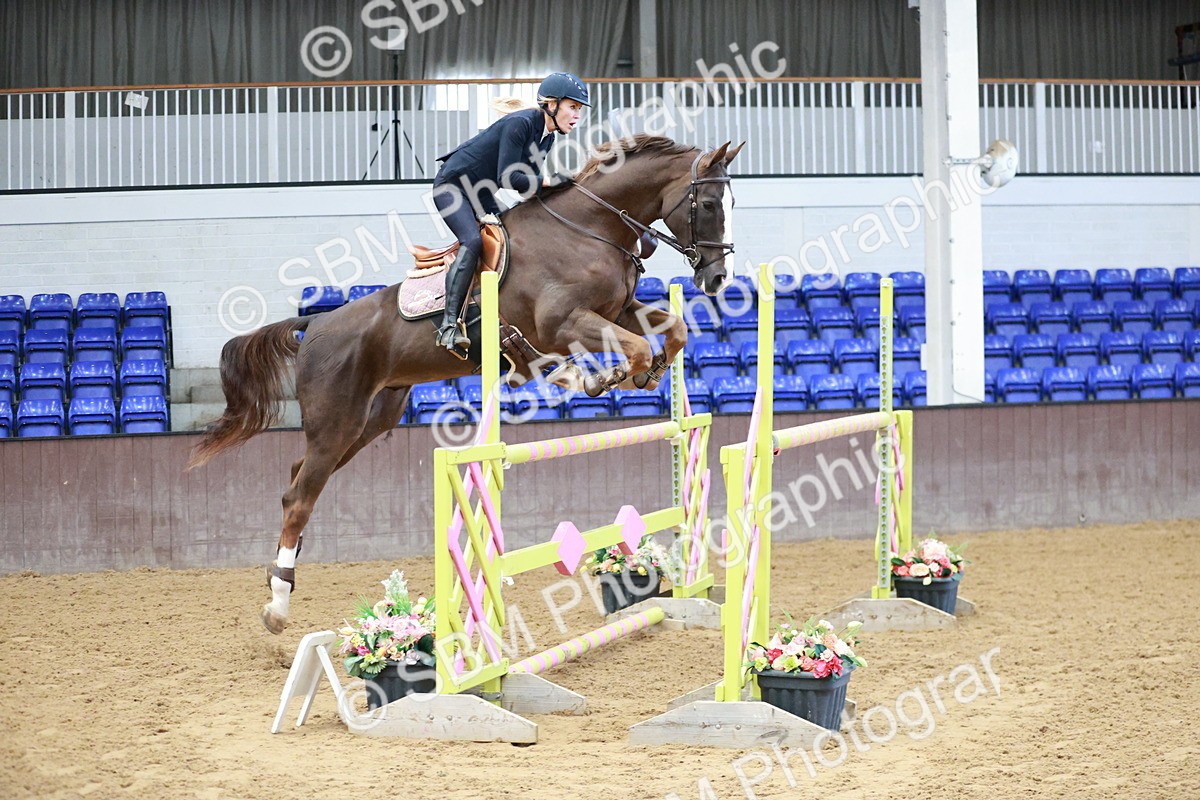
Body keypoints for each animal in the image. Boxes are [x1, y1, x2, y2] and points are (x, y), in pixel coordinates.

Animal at [187, 134, 744, 633]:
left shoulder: (617, 309)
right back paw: (278, 606)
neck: (590, 228)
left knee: (297, 478)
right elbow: (628, 347)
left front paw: (647, 372)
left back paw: (278, 576)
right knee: (300, 496)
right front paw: (601, 376)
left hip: (368, 422)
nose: (718, 279)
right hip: (336, 422)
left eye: (731, 202)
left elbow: (673, 329)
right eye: (709, 203)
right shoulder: (563, 322)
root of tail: (315, 324)